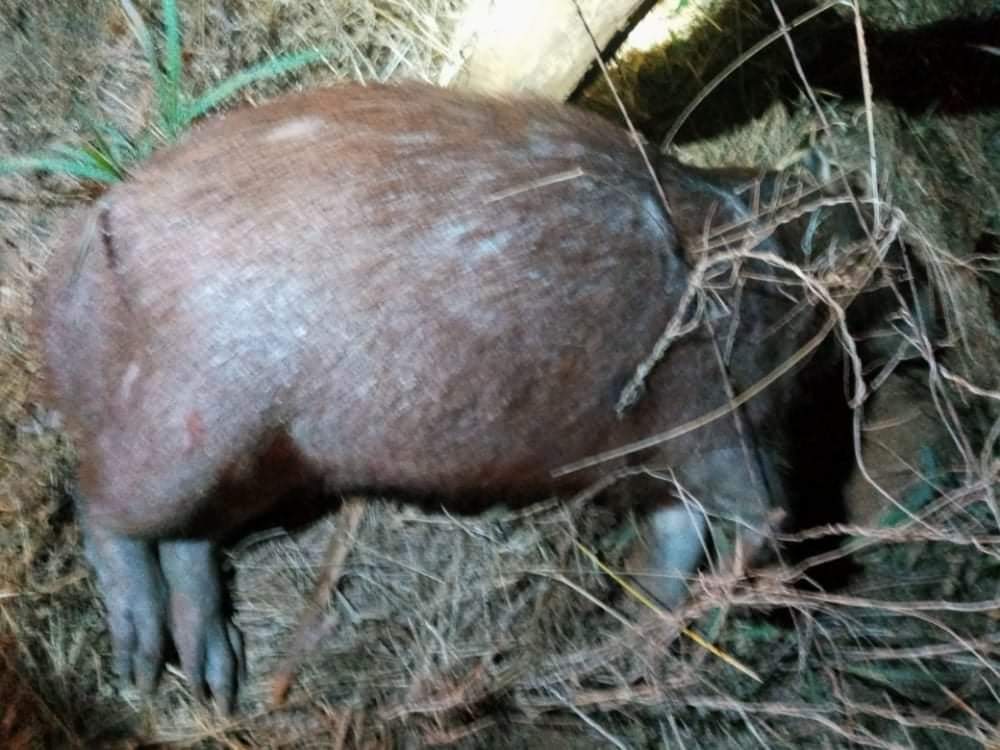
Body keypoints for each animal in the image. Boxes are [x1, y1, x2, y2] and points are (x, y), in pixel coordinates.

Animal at [37, 83, 916, 716]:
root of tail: (94, 225)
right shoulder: (719, 405)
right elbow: (758, 508)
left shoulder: (675, 445)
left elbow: (682, 531)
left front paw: (633, 652)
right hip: (194, 420)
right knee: (98, 501)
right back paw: (141, 665)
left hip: (276, 461)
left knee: (189, 534)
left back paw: (213, 678)